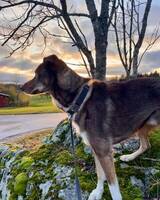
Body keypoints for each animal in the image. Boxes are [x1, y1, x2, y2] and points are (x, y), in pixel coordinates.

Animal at [21, 54, 160, 199]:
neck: (79, 98)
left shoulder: (104, 151)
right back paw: (129, 157)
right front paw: (98, 192)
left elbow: (113, 187)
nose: (20, 87)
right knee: (146, 145)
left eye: (37, 74)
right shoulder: (96, 149)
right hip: (143, 124)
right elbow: (100, 175)